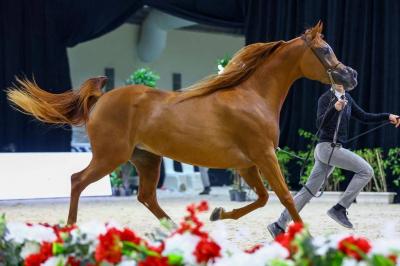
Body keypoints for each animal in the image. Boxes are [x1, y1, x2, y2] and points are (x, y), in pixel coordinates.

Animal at [7, 21, 356, 225]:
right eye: (325, 49)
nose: (350, 76)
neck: (251, 96)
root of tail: (100, 100)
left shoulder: (246, 164)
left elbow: (262, 198)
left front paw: (218, 213)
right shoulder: (264, 156)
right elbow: (284, 196)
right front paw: (304, 236)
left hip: (146, 159)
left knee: (145, 196)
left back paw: (172, 230)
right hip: (111, 157)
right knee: (77, 180)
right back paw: (69, 228)